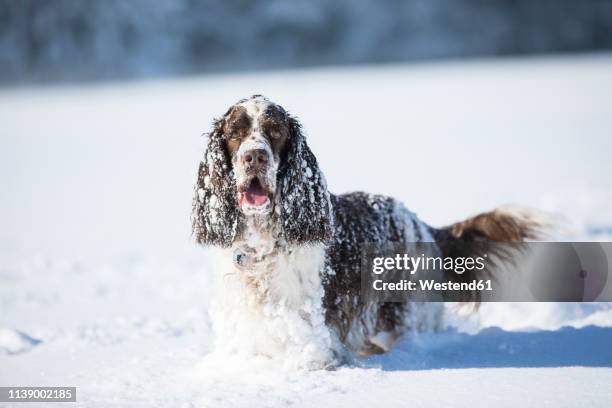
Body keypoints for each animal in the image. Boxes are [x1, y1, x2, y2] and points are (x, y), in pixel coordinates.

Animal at [192, 95, 540, 366]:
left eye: (275, 132)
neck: (262, 243)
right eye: (235, 133)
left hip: (408, 313)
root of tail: (422, 224)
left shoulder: (315, 343)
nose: (255, 156)